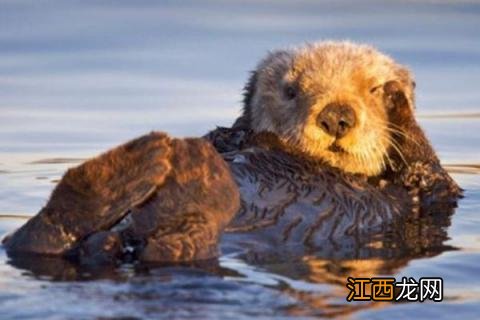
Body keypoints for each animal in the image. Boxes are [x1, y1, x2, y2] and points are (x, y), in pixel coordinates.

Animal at [1, 41, 464, 264]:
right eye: (291, 90)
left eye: (370, 89)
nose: (337, 116)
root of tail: (120, 243)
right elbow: (225, 136)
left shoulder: (430, 197)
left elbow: (429, 171)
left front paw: (397, 99)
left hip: (183, 242)